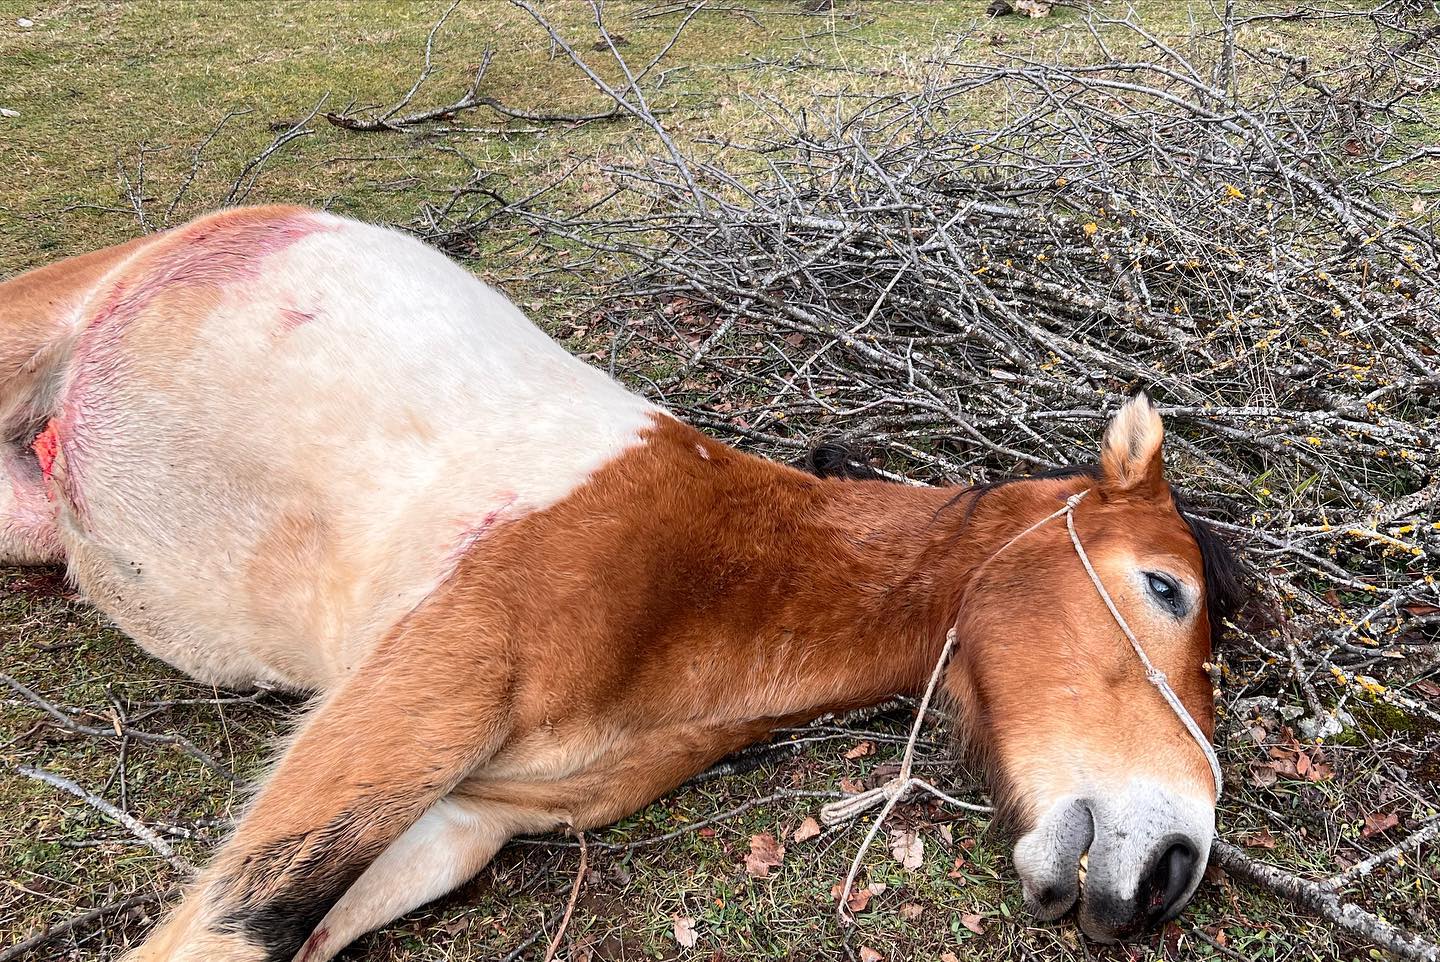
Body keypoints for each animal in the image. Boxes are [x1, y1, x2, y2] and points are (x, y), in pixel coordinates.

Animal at [0, 206, 1243, 962]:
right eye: (1164, 587)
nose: (1172, 866)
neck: (701, 575)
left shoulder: (460, 818)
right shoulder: (416, 701)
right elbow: (232, 927)